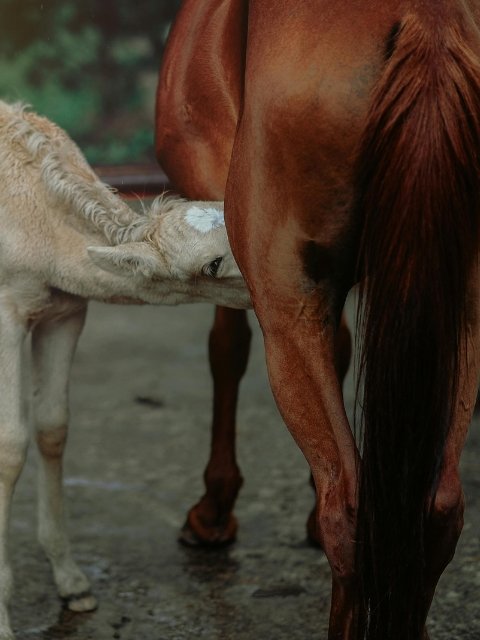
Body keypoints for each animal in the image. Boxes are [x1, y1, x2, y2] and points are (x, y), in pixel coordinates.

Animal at [0, 100, 250, 639]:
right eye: (212, 264)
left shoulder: (67, 310)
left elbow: (53, 427)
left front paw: (74, 584)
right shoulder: (5, 310)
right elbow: (10, 444)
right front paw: (4, 621)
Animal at [155, 1, 480, 638]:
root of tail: (429, 18)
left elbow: (225, 348)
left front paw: (213, 510)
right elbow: (342, 346)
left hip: (286, 305)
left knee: (348, 513)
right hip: (462, 313)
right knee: (438, 509)